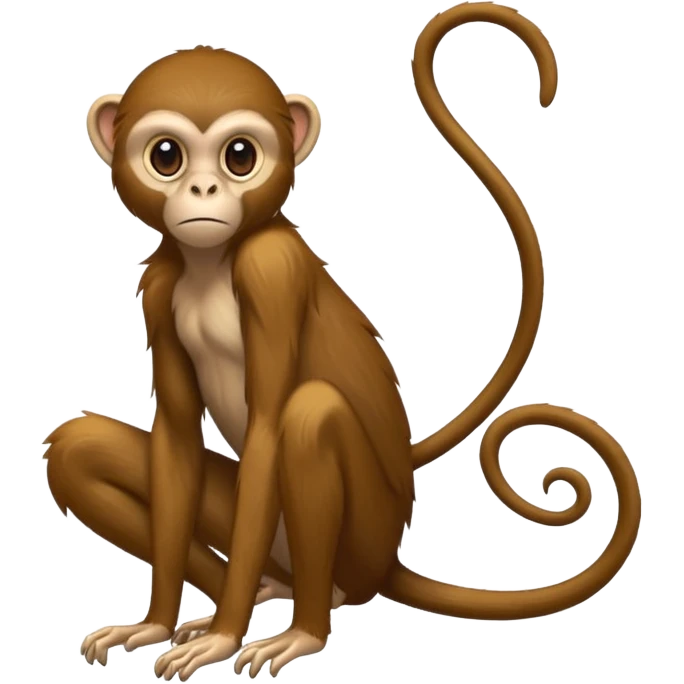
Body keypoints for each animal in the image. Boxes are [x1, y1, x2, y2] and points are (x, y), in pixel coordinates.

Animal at [42, 2, 641, 681]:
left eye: (239, 156)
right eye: (166, 156)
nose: (202, 192)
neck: (212, 263)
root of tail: (381, 565)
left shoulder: (271, 273)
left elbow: (271, 425)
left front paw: (223, 637)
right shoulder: (160, 285)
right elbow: (172, 438)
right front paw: (155, 624)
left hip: (363, 541)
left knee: (311, 417)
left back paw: (301, 626)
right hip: (283, 545)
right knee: (78, 449)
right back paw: (266, 592)